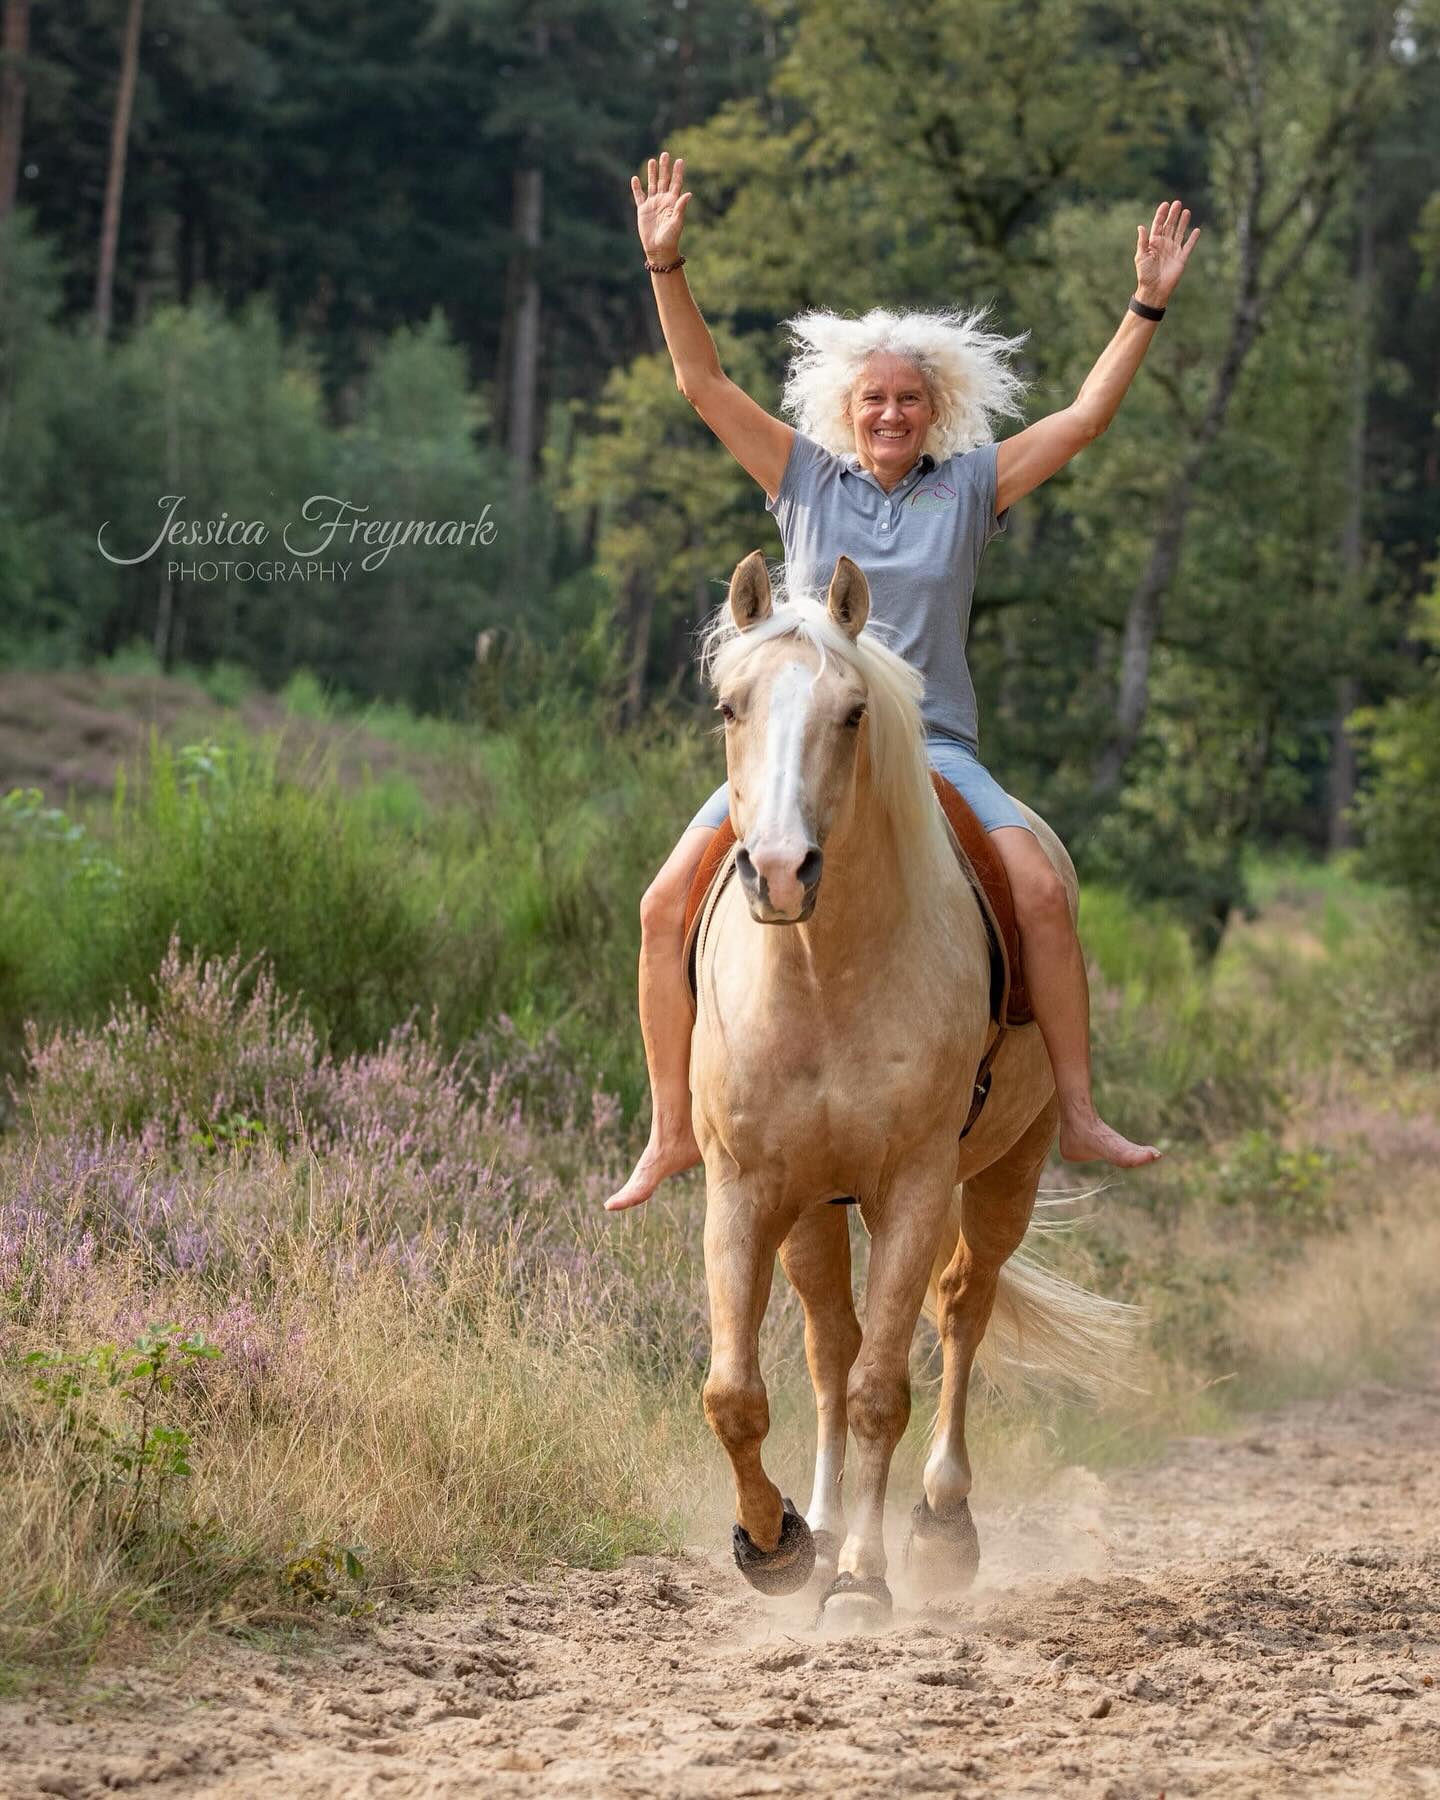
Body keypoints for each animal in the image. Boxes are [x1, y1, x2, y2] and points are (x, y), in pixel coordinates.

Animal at [690, 549, 1134, 1611]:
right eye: (729, 706)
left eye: (853, 713)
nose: (780, 872)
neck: (823, 974)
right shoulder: (745, 1187)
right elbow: (737, 1393)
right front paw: (775, 1542)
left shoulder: (916, 1187)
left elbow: (881, 1392)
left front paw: (860, 1580)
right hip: (813, 1206)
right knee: (828, 1342)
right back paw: (824, 1523)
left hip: (1009, 1170)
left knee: (962, 1310)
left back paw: (938, 1524)